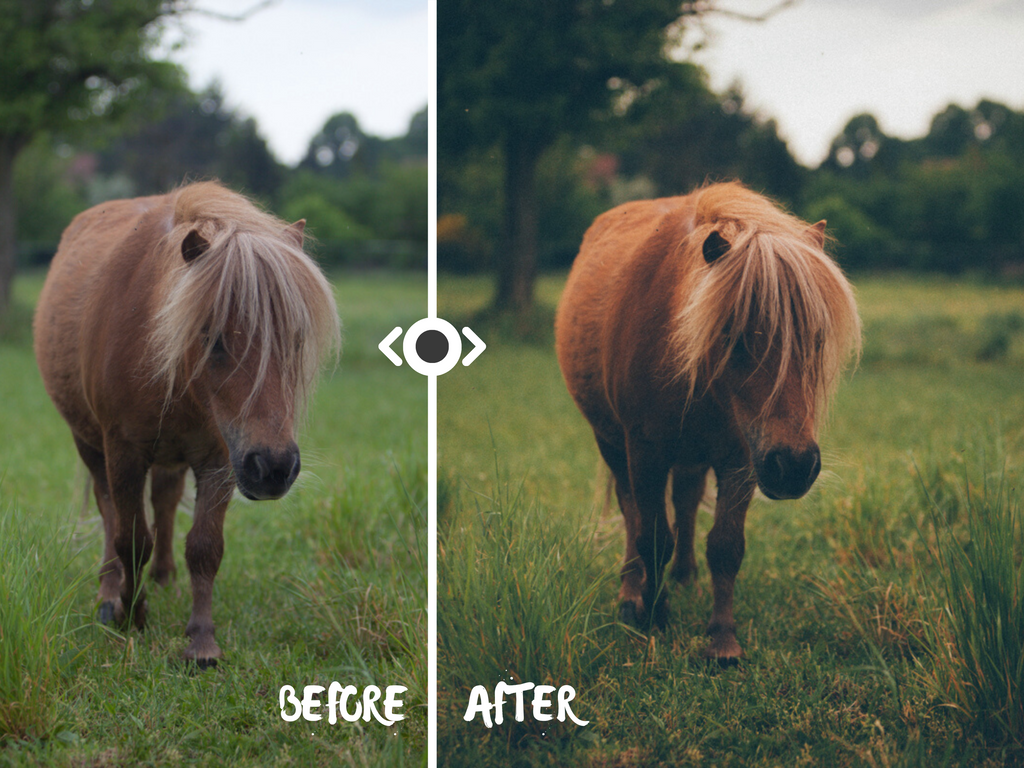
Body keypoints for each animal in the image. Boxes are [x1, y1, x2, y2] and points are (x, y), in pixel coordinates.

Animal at [34, 181, 341, 667]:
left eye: (295, 339)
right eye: (212, 337)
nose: (274, 468)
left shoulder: (220, 459)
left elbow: (204, 546)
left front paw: (201, 641)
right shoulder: (124, 452)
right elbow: (130, 537)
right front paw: (131, 611)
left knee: (163, 500)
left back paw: (164, 578)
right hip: (90, 443)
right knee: (108, 511)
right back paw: (109, 593)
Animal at [555, 182, 861, 662]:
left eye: (816, 337)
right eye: (734, 337)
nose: (794, 467)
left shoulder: (742, 459)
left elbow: (725, 545)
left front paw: (722, 638)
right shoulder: (645, 452)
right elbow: (651, 535)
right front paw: (653, 613)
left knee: (684, 500)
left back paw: (684, 577)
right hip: (612, 443)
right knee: (630, 510)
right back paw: (631, 592)